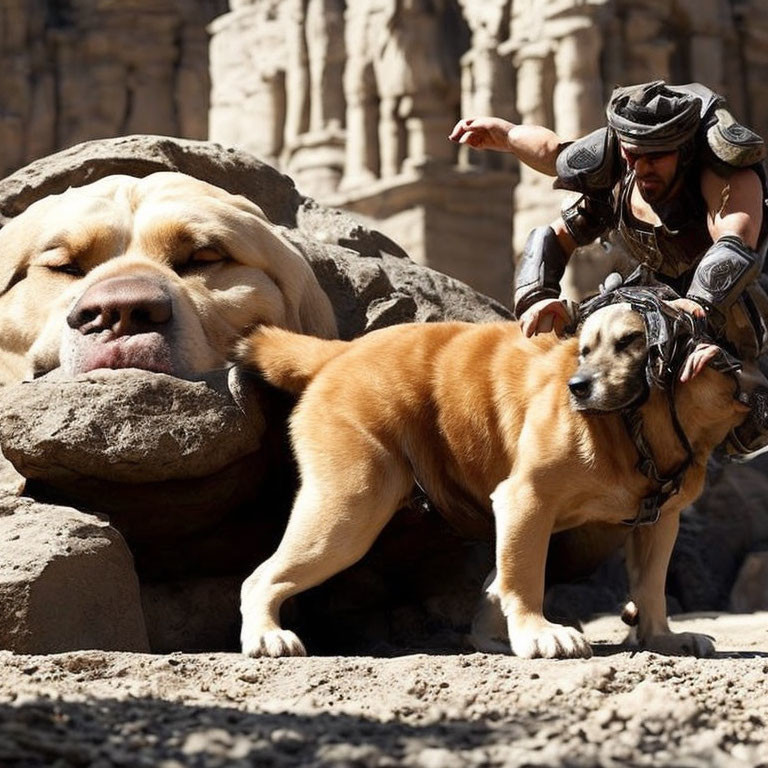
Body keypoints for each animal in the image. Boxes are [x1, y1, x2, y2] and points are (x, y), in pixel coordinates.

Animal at [238, 296, 760, 660]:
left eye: (630, 342)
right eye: (585, 349)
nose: (577, 387)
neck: (634, 426)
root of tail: (339, 354)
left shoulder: (659, 522)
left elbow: (649, 586)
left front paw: (662, 638)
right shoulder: (525, 499)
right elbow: (525, 577)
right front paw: (539, 634)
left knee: (492, 590)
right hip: (349, 511)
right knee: (260, 579)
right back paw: (267, 635)